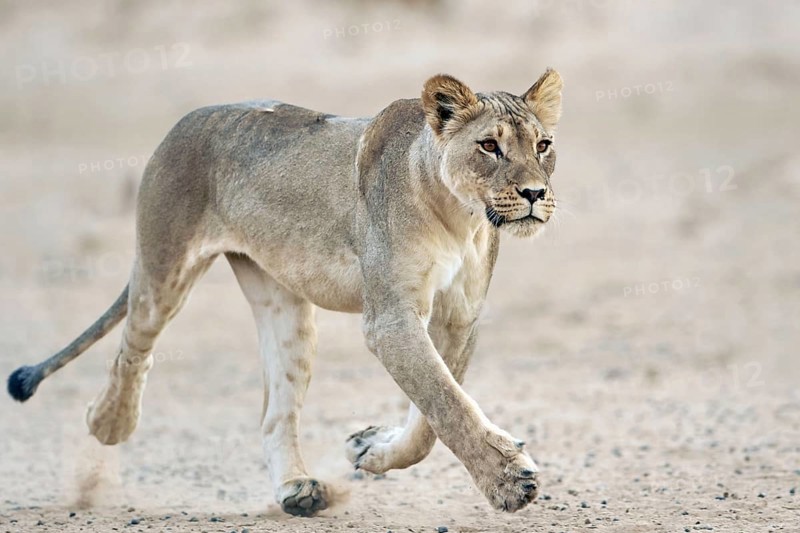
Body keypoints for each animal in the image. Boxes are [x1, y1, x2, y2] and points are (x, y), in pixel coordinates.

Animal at [7, 68, 563, 516]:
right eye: (489, 146)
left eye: (542, 145)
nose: (535, 193)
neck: (459, 216)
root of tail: (184, 122)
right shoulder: (390, 318)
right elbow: (446, 402)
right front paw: (508, 482)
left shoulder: (459, 316)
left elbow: (432, 416)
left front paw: (371, 448)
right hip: (163, 271)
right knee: (133, 349)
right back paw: (107, 422)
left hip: (283, 307)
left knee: (274, 411)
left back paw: (296, 489)